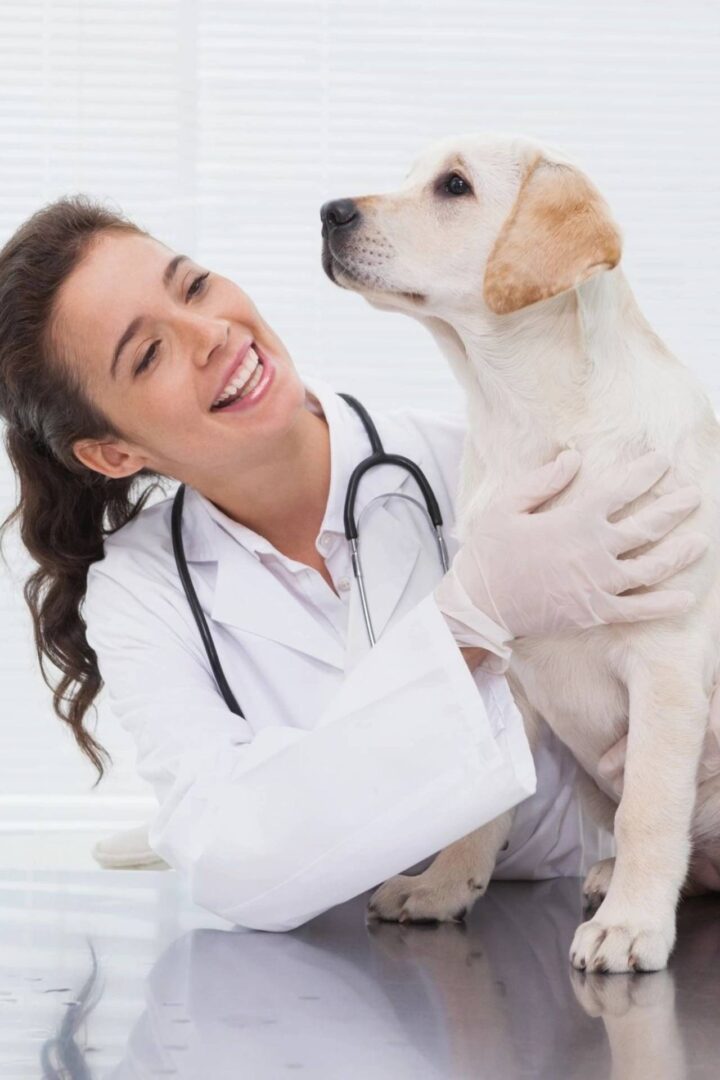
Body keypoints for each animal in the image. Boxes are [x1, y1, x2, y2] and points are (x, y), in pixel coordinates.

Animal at [323, 132, 720, 972]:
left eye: (453, 186)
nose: (328, 212)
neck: (531, 422)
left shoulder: (667, 660)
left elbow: (648, 806)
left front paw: (633, 924)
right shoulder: (503, 661)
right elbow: (484, 805)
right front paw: (443, 886)